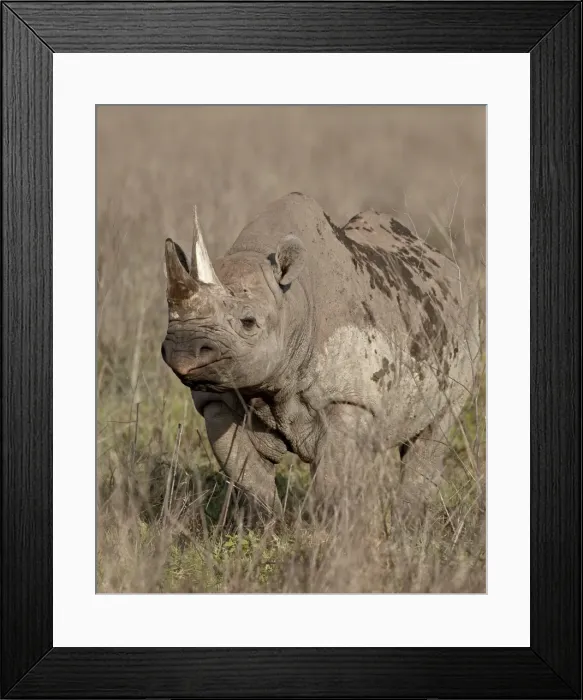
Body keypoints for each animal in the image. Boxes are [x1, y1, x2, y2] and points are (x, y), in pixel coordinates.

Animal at [161, 193, 480, 515]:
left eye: (248, 323)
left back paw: (406, 520)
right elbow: (249, 478)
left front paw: (323, 525)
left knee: (434, 432)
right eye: (169, 315)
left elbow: (331, 482)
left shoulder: (347, 398)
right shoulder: (217, 400)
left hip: (464, 324)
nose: (183, 351)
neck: (292, 305)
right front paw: (268, 522)